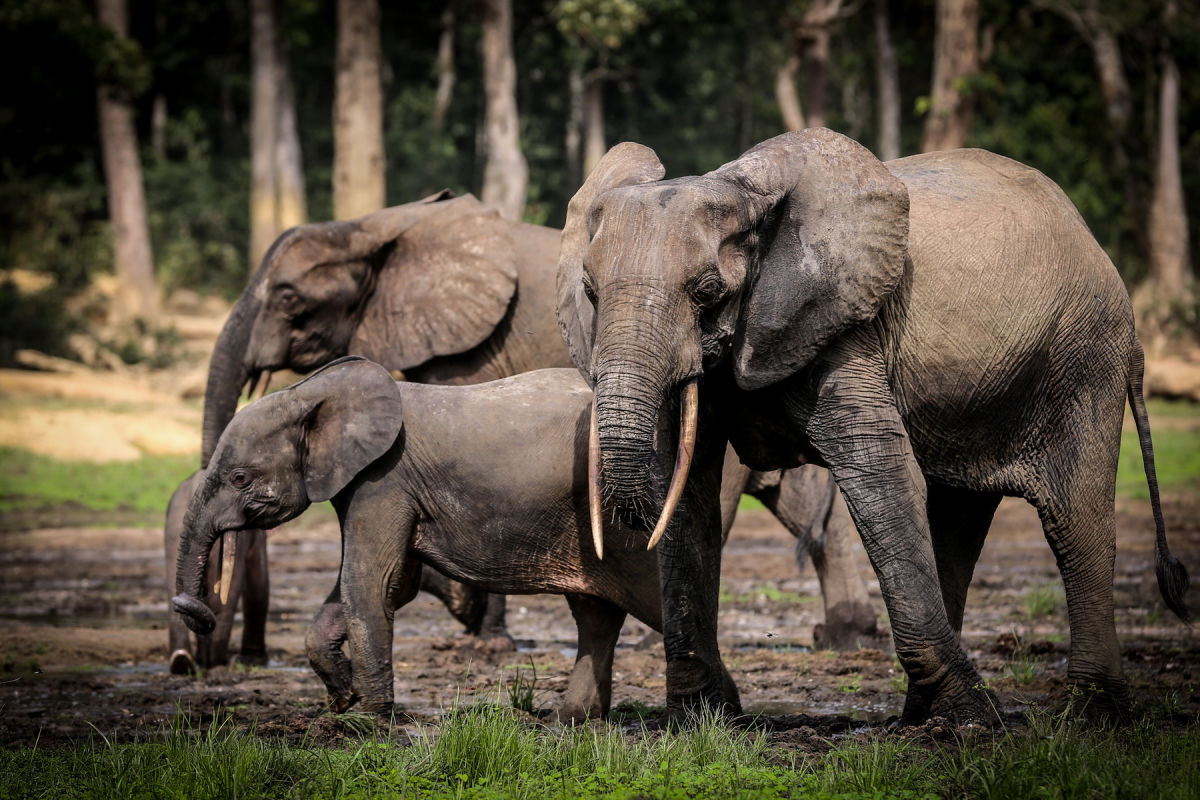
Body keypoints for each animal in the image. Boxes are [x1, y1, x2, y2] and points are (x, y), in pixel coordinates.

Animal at [166, 194, 883, 676]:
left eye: (289, 299)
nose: (196, 649)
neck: (381, 224)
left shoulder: (474, 348)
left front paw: (483, 637)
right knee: (803, 504)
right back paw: (844, 639)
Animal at [171, 357, 729, 719]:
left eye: (240, 478)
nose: (195, 611)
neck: (311, 392)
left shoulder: (384, 480)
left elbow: (369, 583)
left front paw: (365, 722)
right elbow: (388, 585)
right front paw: (343, 701)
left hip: (634, 527)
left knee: (656, 601)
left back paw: (718, 719)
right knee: (595, 615)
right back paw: (572, 720)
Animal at [559, 126, 1190, 724]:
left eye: (708, 291)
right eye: (590, 292)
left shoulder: (843, 326)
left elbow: (877, 469)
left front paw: (979, 720)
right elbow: (687, 493)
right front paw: (700, 720)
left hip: (1084, 356)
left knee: (1073, 519)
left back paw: (1090, 715)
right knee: (956, 521)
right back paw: (922, 718)